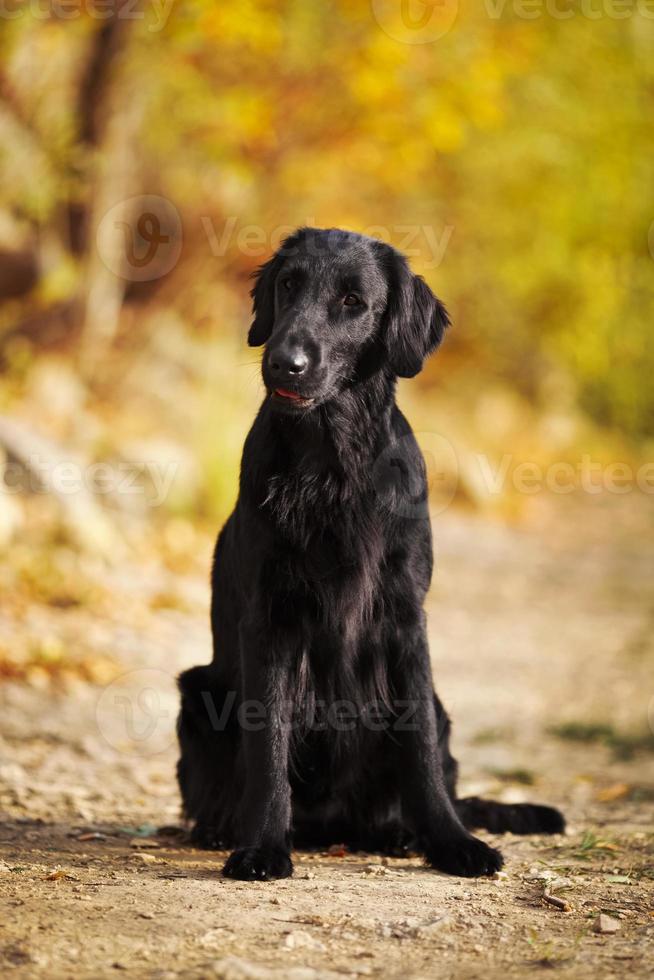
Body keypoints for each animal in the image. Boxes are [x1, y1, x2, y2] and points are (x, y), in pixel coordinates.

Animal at [177, 228, 568, 880]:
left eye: (352, 302)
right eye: (289, 284)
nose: (284, 361)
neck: (333, 466)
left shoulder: (405, 617)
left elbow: (421, 752)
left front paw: (451, 841)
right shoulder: (270, 619)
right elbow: (268, 744)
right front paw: (263, 846)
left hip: (439, 706)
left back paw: (401, 833)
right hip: (196, 694)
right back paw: (220, 829)